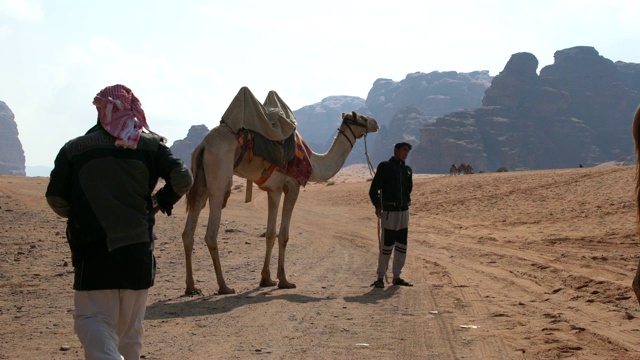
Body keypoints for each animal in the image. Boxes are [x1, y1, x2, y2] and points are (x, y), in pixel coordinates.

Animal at [182, 105, 378, 294]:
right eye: (362, 118)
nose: (376, 123)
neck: (313, 162)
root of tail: (203, 145)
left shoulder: (274, 190)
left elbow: (270, 234)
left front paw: (266, 279)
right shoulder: (293, 185)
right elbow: (283, 235)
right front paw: (284, 280)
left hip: (201, 181)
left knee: (189, 228)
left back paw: (191, 287)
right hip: (219, 175)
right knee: (211, 233)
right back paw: (224, 286)